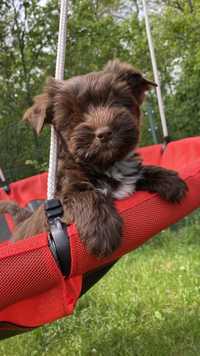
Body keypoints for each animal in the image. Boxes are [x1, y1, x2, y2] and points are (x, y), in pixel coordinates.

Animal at [0, 59, 188, 258]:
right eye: (73, 115)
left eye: (116, 102)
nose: (104, 133)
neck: (106, 165)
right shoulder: (66, 193)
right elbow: (86, 195)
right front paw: (102, 231)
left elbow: (140, 172)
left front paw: (169, 179)